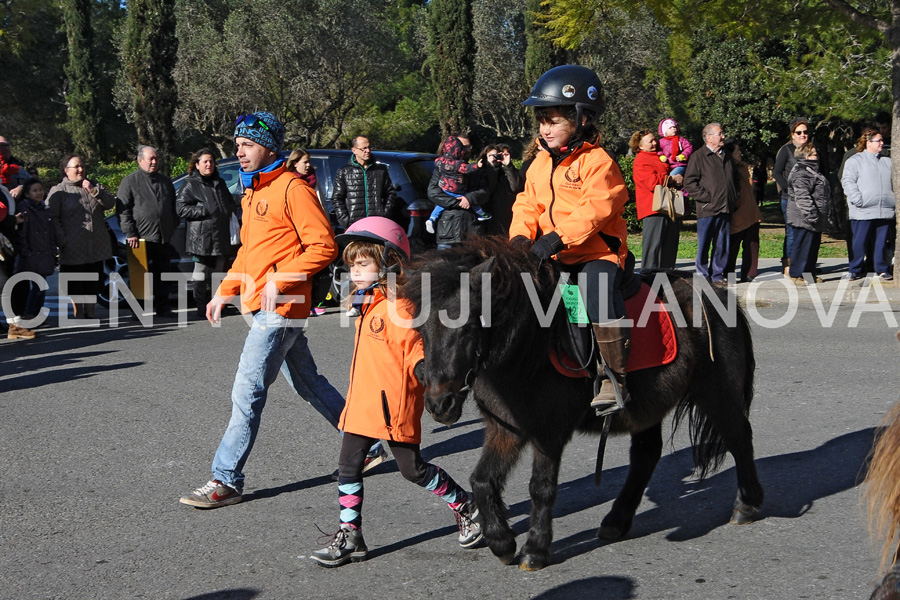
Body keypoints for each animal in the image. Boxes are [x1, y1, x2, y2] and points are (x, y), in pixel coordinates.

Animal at [404, 237, 764, 568]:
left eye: (466, 327)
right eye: (421, 329)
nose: (439, 403)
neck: (528, 347)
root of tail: (719, 293)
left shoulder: (549, 431)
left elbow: (541, 487)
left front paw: (535, 549)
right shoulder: (505, 428)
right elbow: (482, 480)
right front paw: (501, 541)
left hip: (716, 393)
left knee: (739, 436)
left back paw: (747, 504)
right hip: (648, 406)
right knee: (646, 455)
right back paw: (616, 521)